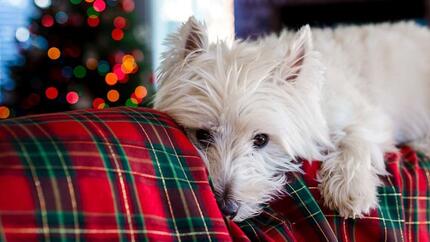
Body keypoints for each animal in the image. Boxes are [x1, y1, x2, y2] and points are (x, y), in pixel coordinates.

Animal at [154, 17, 430, 221]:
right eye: (202, 135)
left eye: (261, 139)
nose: (227, 208)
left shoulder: (367, 115)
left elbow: (356, 138)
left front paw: (351, 190)